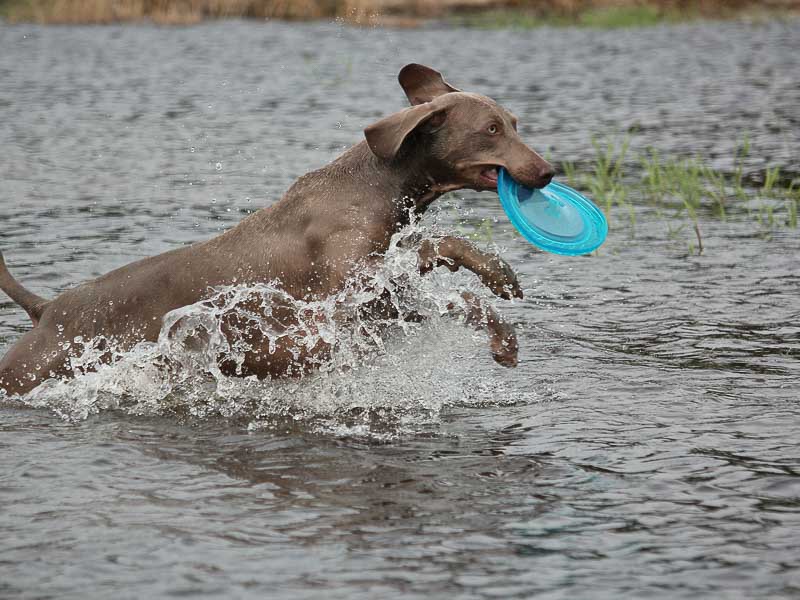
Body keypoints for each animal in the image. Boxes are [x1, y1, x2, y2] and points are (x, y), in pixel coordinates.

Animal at [0, 64, 552, 398]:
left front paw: (501, 301)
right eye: (492, 129)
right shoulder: (345, 299)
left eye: (515, 122)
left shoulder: (379, 294)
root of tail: (47, 310)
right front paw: (500, 303)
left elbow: (443, 270)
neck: (379, 185)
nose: (548, 172)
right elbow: (444, 264)